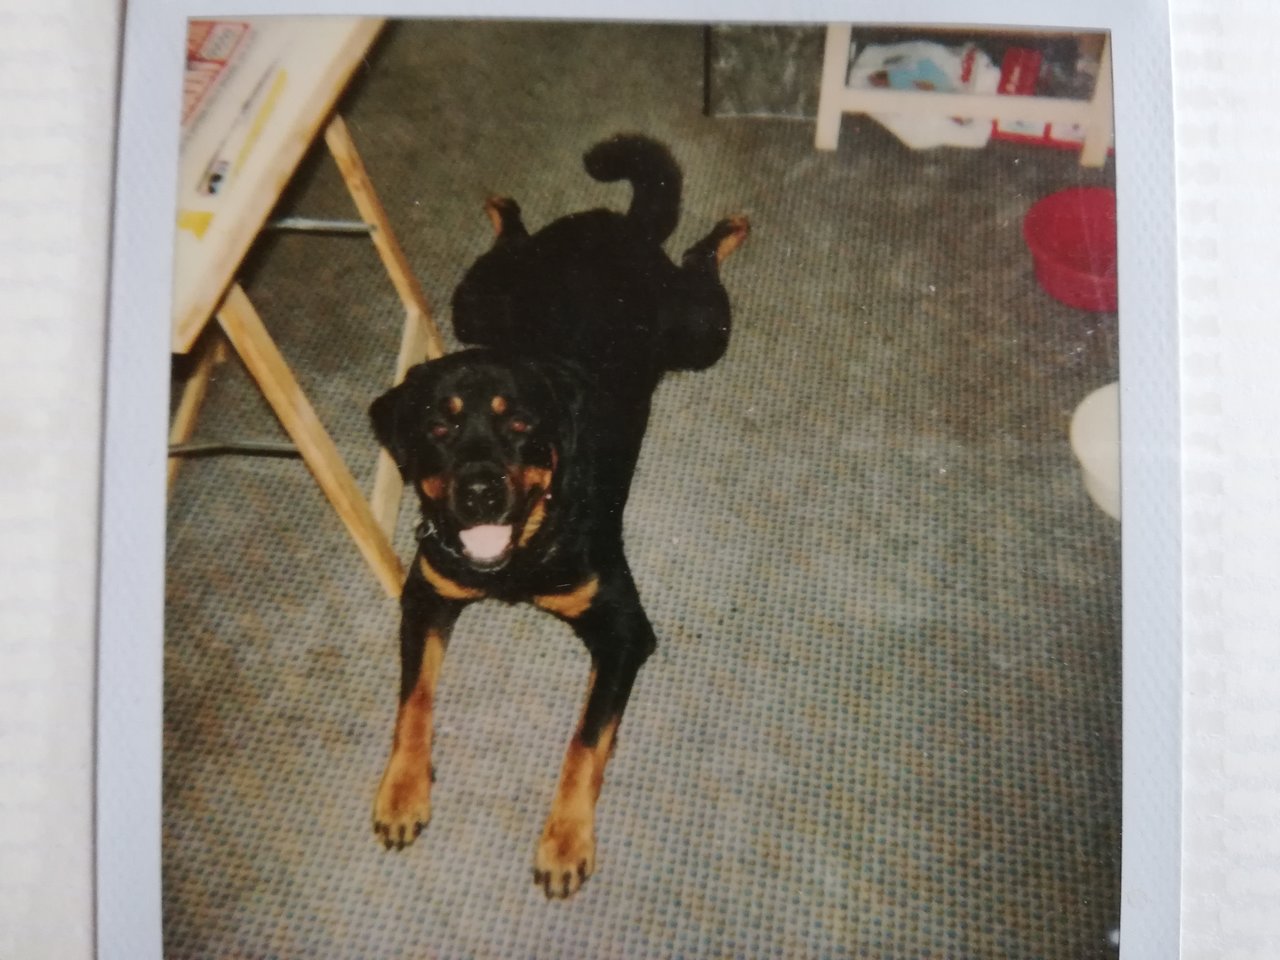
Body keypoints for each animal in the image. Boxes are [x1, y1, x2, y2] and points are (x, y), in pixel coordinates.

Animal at [368, 134, 747, 898]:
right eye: (439, 427)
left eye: (519, 424)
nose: (481, 491)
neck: (520, 553)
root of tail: (612, 223)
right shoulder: (424, 594)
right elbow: (412, 700)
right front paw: (402, 790)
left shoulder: (624, 629)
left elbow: (584, 741)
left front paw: (566, 840)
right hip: (473, 305)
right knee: (511, 238)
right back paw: (503, 210)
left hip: (702, 332)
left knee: (700, 261)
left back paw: (729, 230)